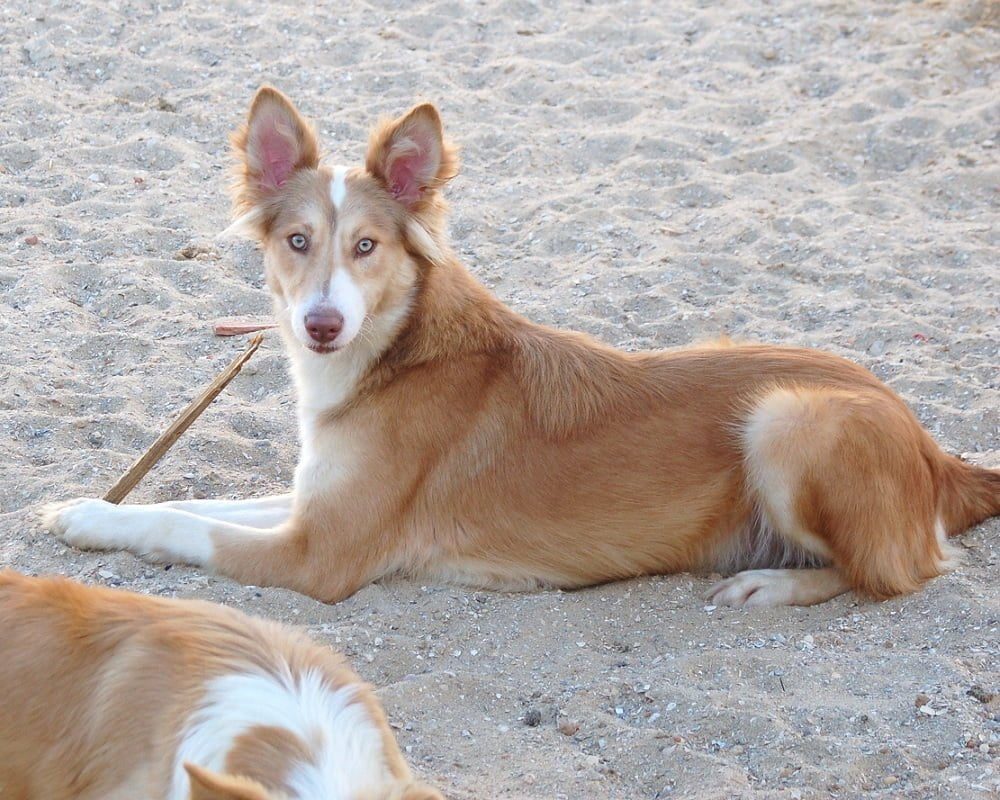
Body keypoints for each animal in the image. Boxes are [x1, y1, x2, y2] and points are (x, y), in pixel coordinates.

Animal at [43, 86, 1000, 608]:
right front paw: (85, 511)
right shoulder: (314, 505)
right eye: (298, 242)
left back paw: (773, 584)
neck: (400, 348)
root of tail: (935, 449)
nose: (321, 326)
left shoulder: (319, 554)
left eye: (367, 247)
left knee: (906, 570)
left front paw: (98, 519)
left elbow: (181, 522)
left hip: (787, 419)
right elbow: (198, 504)